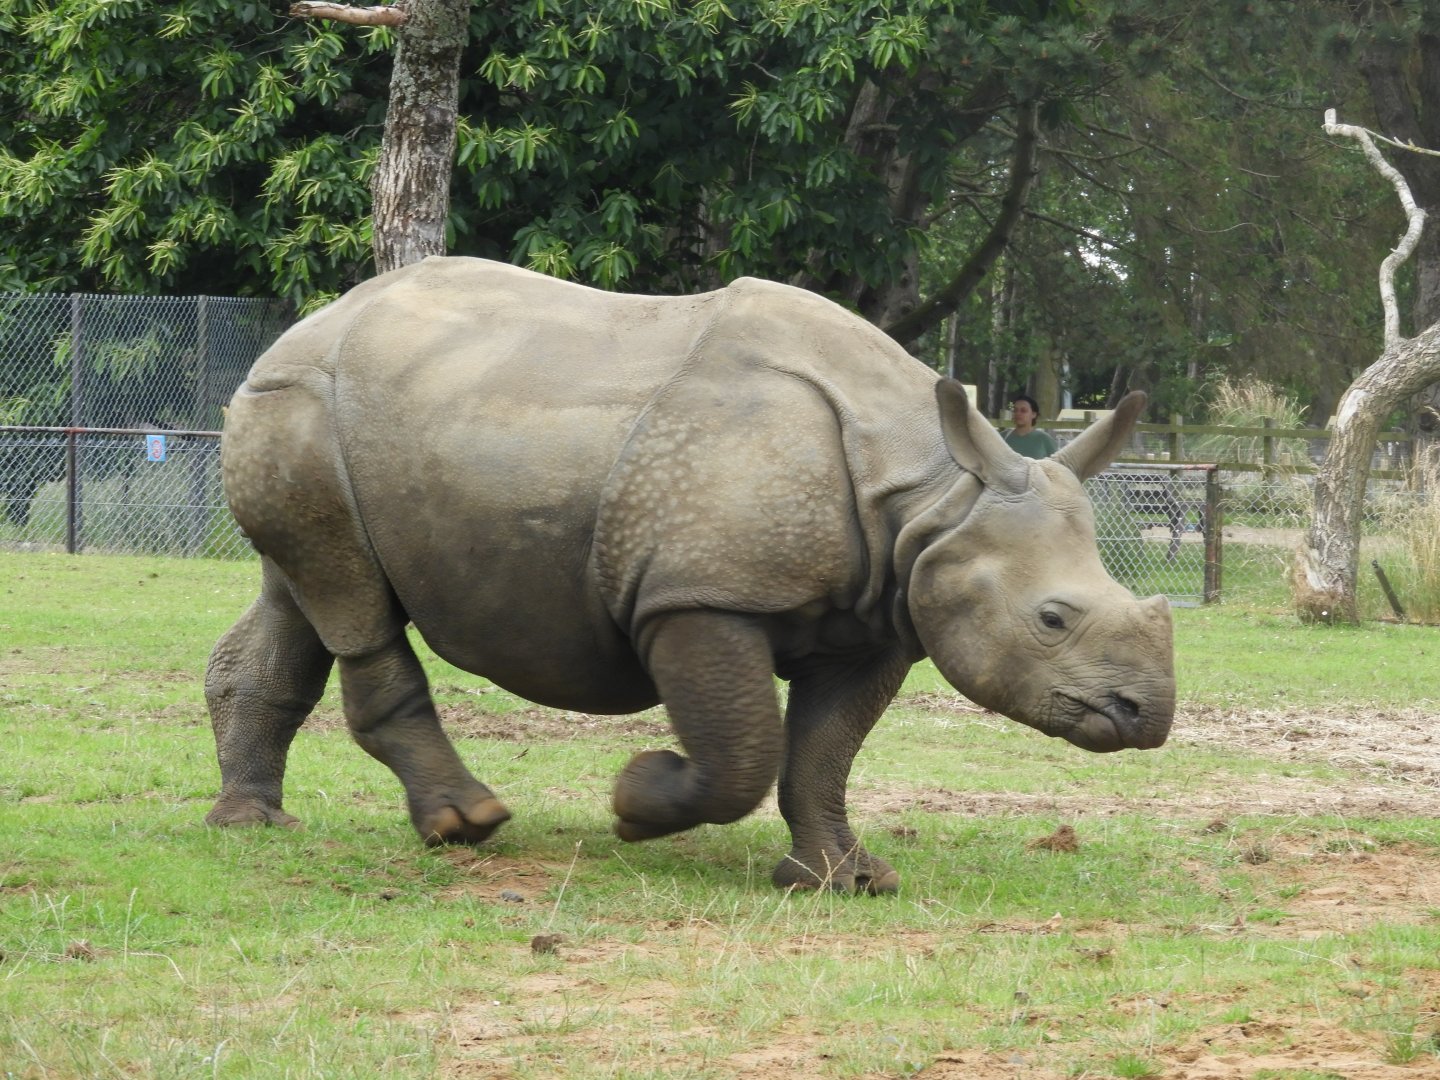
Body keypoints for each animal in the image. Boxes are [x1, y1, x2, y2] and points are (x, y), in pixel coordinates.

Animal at [205, 256, 1174, 893]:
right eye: (1052, 619)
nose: (1147, 717)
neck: (932, 493)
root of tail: (299, 328)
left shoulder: (878, 617)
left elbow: (823, 751)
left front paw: (842, 879)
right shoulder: (696, 595)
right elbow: (745, 749)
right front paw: (636, 802)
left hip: (337, 417)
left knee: (304, 593)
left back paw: (252, 824)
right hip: (299, 401)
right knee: (352, 602)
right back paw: (464, 826)